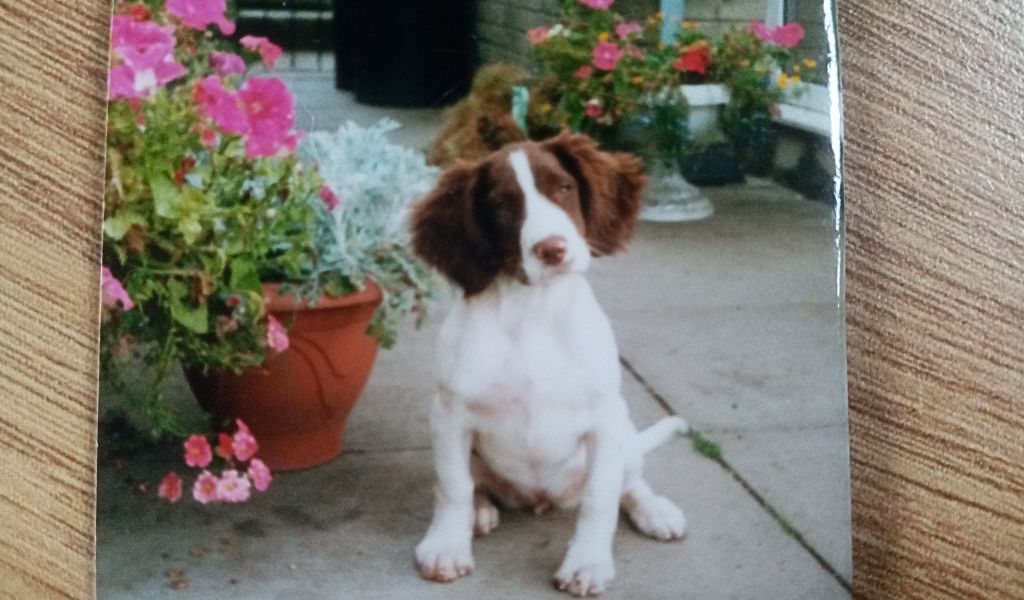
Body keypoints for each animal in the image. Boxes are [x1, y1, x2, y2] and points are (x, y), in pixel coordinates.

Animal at [407, 131, 688, 593]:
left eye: (564, 187)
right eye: (501, 205)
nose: (552, 250)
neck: (533, 312)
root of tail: (539, 499)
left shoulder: (605, 418)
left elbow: (600, 499)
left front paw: (587, 562)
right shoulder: (449, 414)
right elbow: (452, 486)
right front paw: (447, 546)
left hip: (624, 433)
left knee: (630, 482)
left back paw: (655, 511)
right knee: (471, 483)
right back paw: (479, 511)